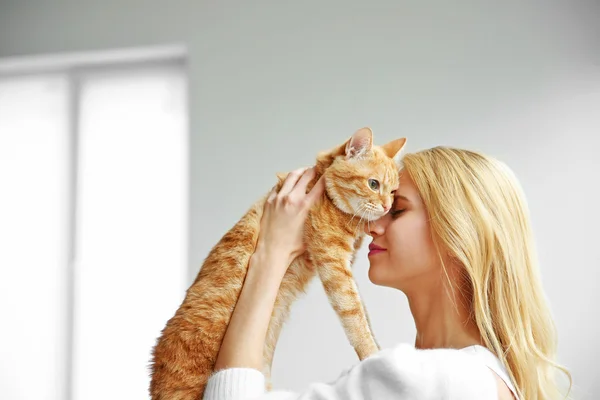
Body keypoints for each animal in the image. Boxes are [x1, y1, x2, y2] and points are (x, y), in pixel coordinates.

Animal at [149, 129, 408, 400]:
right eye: (373, 184)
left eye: (393, 191)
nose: (387, 206)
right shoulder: (334, 263)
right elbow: (355, 316)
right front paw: (373, 355)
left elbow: (364, 314)